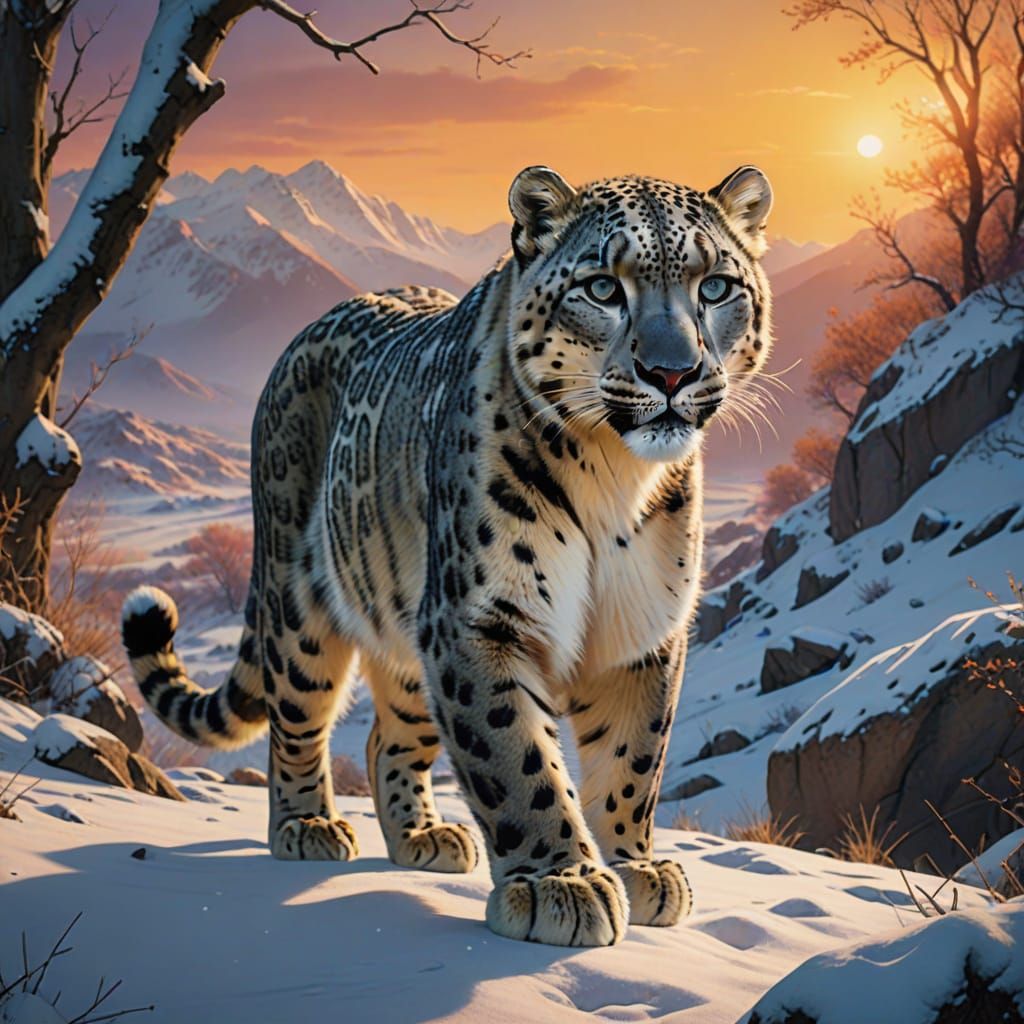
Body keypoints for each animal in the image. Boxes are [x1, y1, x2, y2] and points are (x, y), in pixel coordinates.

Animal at [121, 163, 774, 947]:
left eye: (717, 287)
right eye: (602, 288)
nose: (672, 373)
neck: (615, 476)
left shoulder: (644, 630)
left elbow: (634, 760)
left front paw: (638, 869)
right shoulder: (480, 618)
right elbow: (516, 758)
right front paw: (561, 884)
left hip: (405, 623)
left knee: (388, 735)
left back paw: (421, 838)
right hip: (300, 600)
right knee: (296, 717)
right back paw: (308, 826)